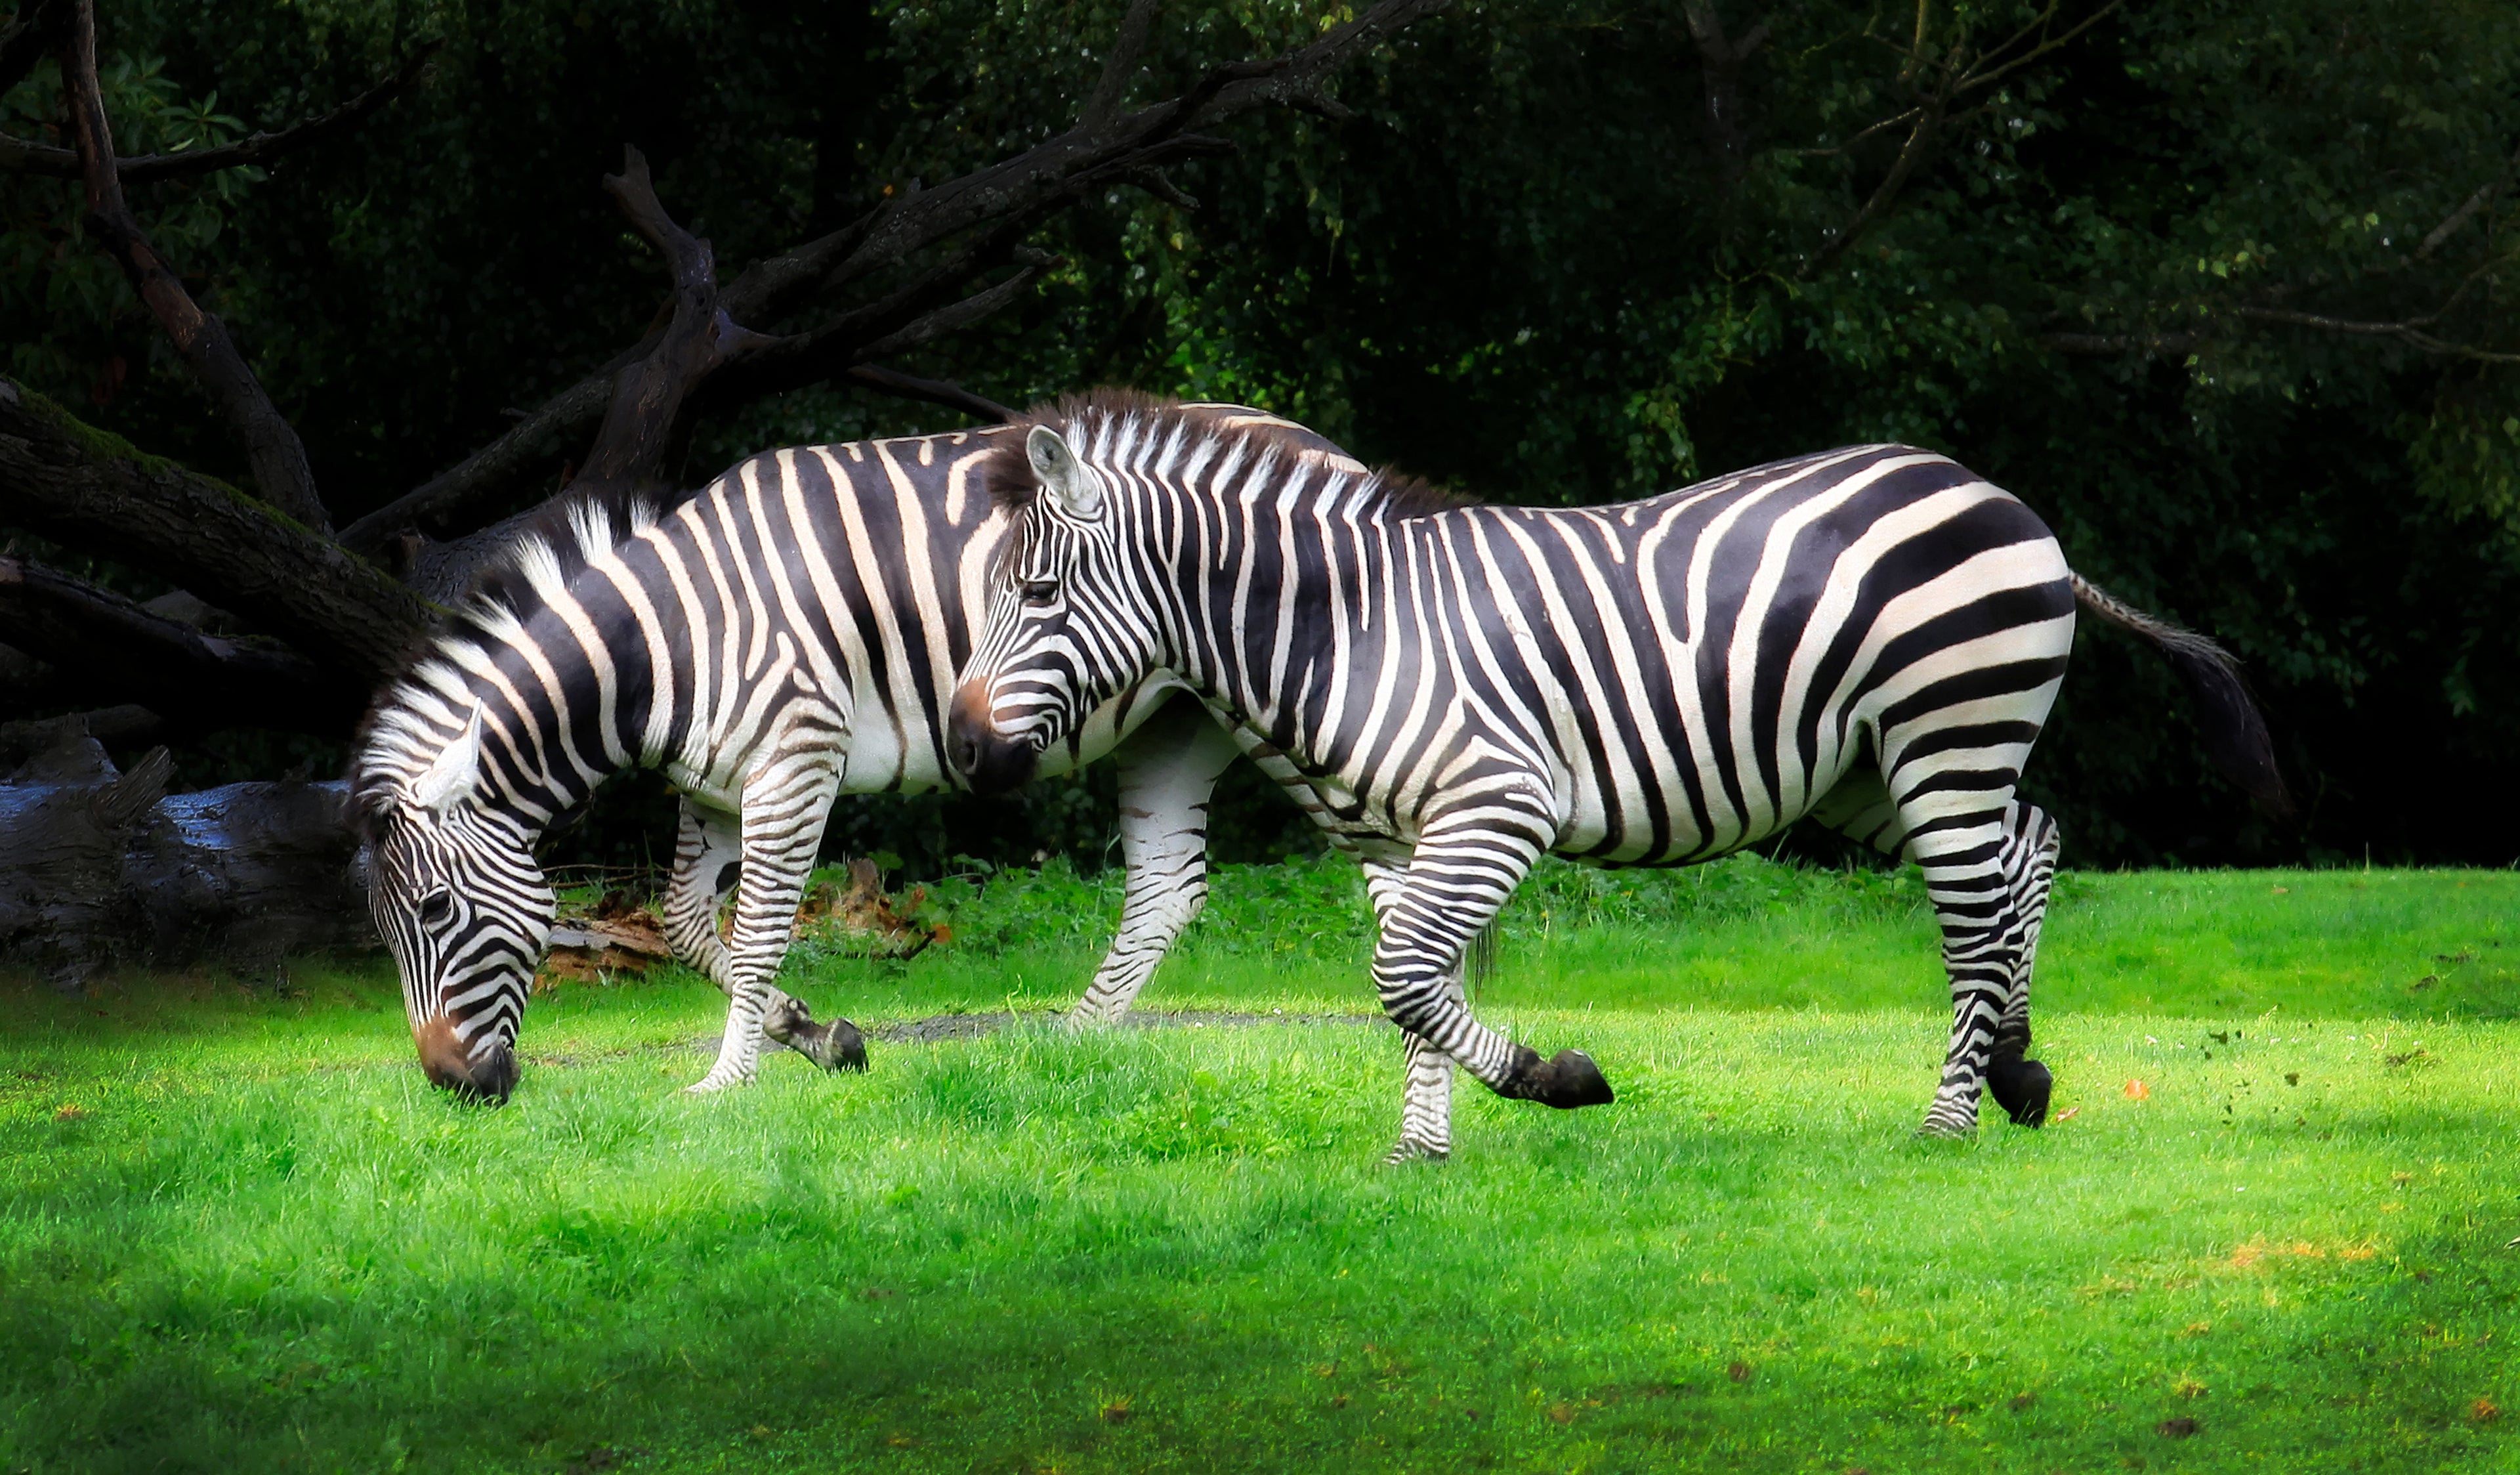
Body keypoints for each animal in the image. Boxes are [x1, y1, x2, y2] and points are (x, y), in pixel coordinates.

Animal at [351, 409, 1372, 1101]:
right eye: (388, 931)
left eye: (435, 910)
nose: (456, 1086)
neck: (669, 640)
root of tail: (1327, 444)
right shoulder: (714, 787)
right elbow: (686, 925)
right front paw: (813, 1034)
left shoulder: (797, 762)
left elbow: (758, 929)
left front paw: (727, 1081)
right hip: (1176, 720)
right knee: (1170, 886)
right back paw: (1071, 1042)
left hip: (1287, 709)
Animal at [945, 391, 2286, 1160]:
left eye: (1040, 592)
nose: (961, 748)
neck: (1354, 627)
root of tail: (2002, 497)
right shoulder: (1397, 838)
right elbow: (1413, 987)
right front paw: (1422, 1149)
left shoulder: (1497, 806)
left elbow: (1406, 979)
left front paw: (1557, 1080)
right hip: (1878, 765)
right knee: (2031, 844)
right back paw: (2017, 1066)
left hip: (1944, 730)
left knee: (1974, 907)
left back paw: (1952, 1112)